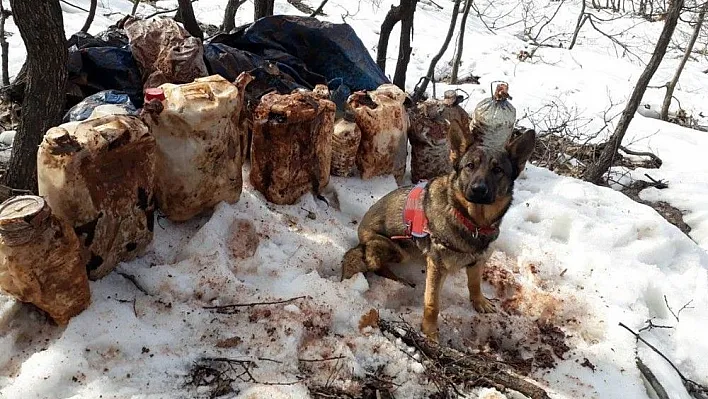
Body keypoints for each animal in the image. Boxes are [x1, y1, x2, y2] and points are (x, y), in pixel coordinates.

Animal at [340, 130, 532, 340]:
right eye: (470, 166)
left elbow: (475, 284)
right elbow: (432, 303)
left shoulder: (477, 261)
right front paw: (430, 332)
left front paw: (479, 301)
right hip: (395, 249)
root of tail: (361, 233)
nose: (478, 190)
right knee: (377, 265)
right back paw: (399, 280)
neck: (471, 222)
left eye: (497, 170)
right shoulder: (437, 267)